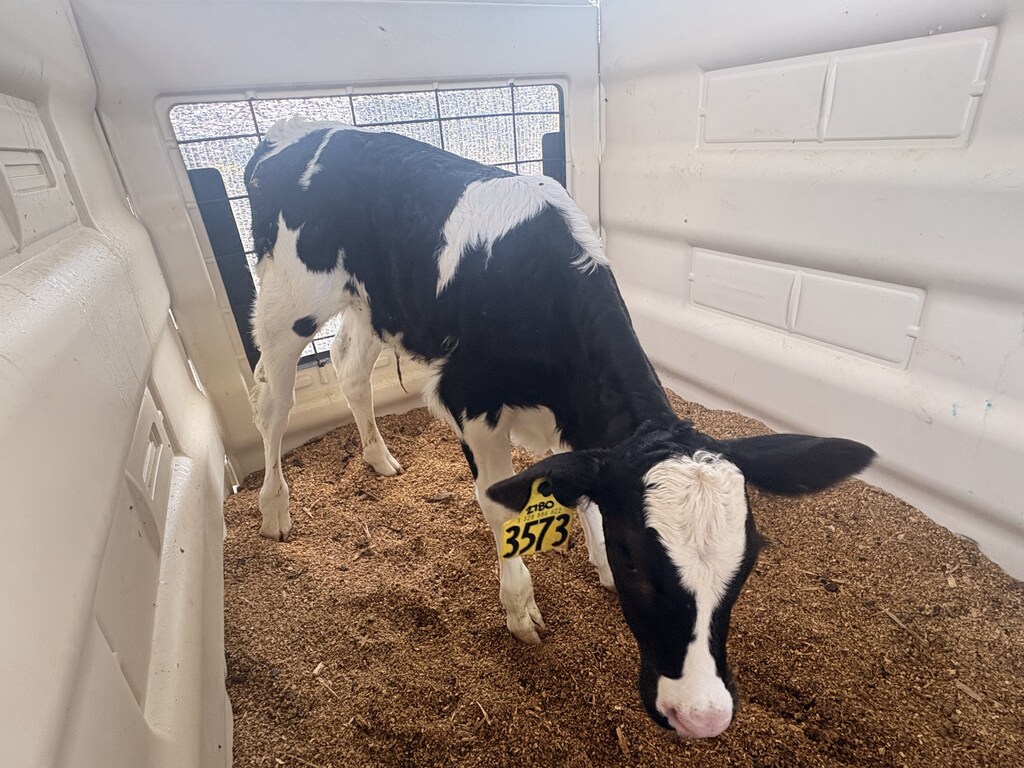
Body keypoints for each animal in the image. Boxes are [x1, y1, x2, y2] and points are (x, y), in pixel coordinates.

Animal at [243, 116, 874, 738]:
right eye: (638, 559)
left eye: (747, 564)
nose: (702, 716)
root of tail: (294, 128)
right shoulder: (471, 402)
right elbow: (500, 507)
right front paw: (520, 607)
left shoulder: (584, 432)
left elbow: (584, 491)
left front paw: (595, 562)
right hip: (286, 302)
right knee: (271, 399)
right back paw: (274, 508)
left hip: (371, 302)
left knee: (349, 368)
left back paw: (377, 458)